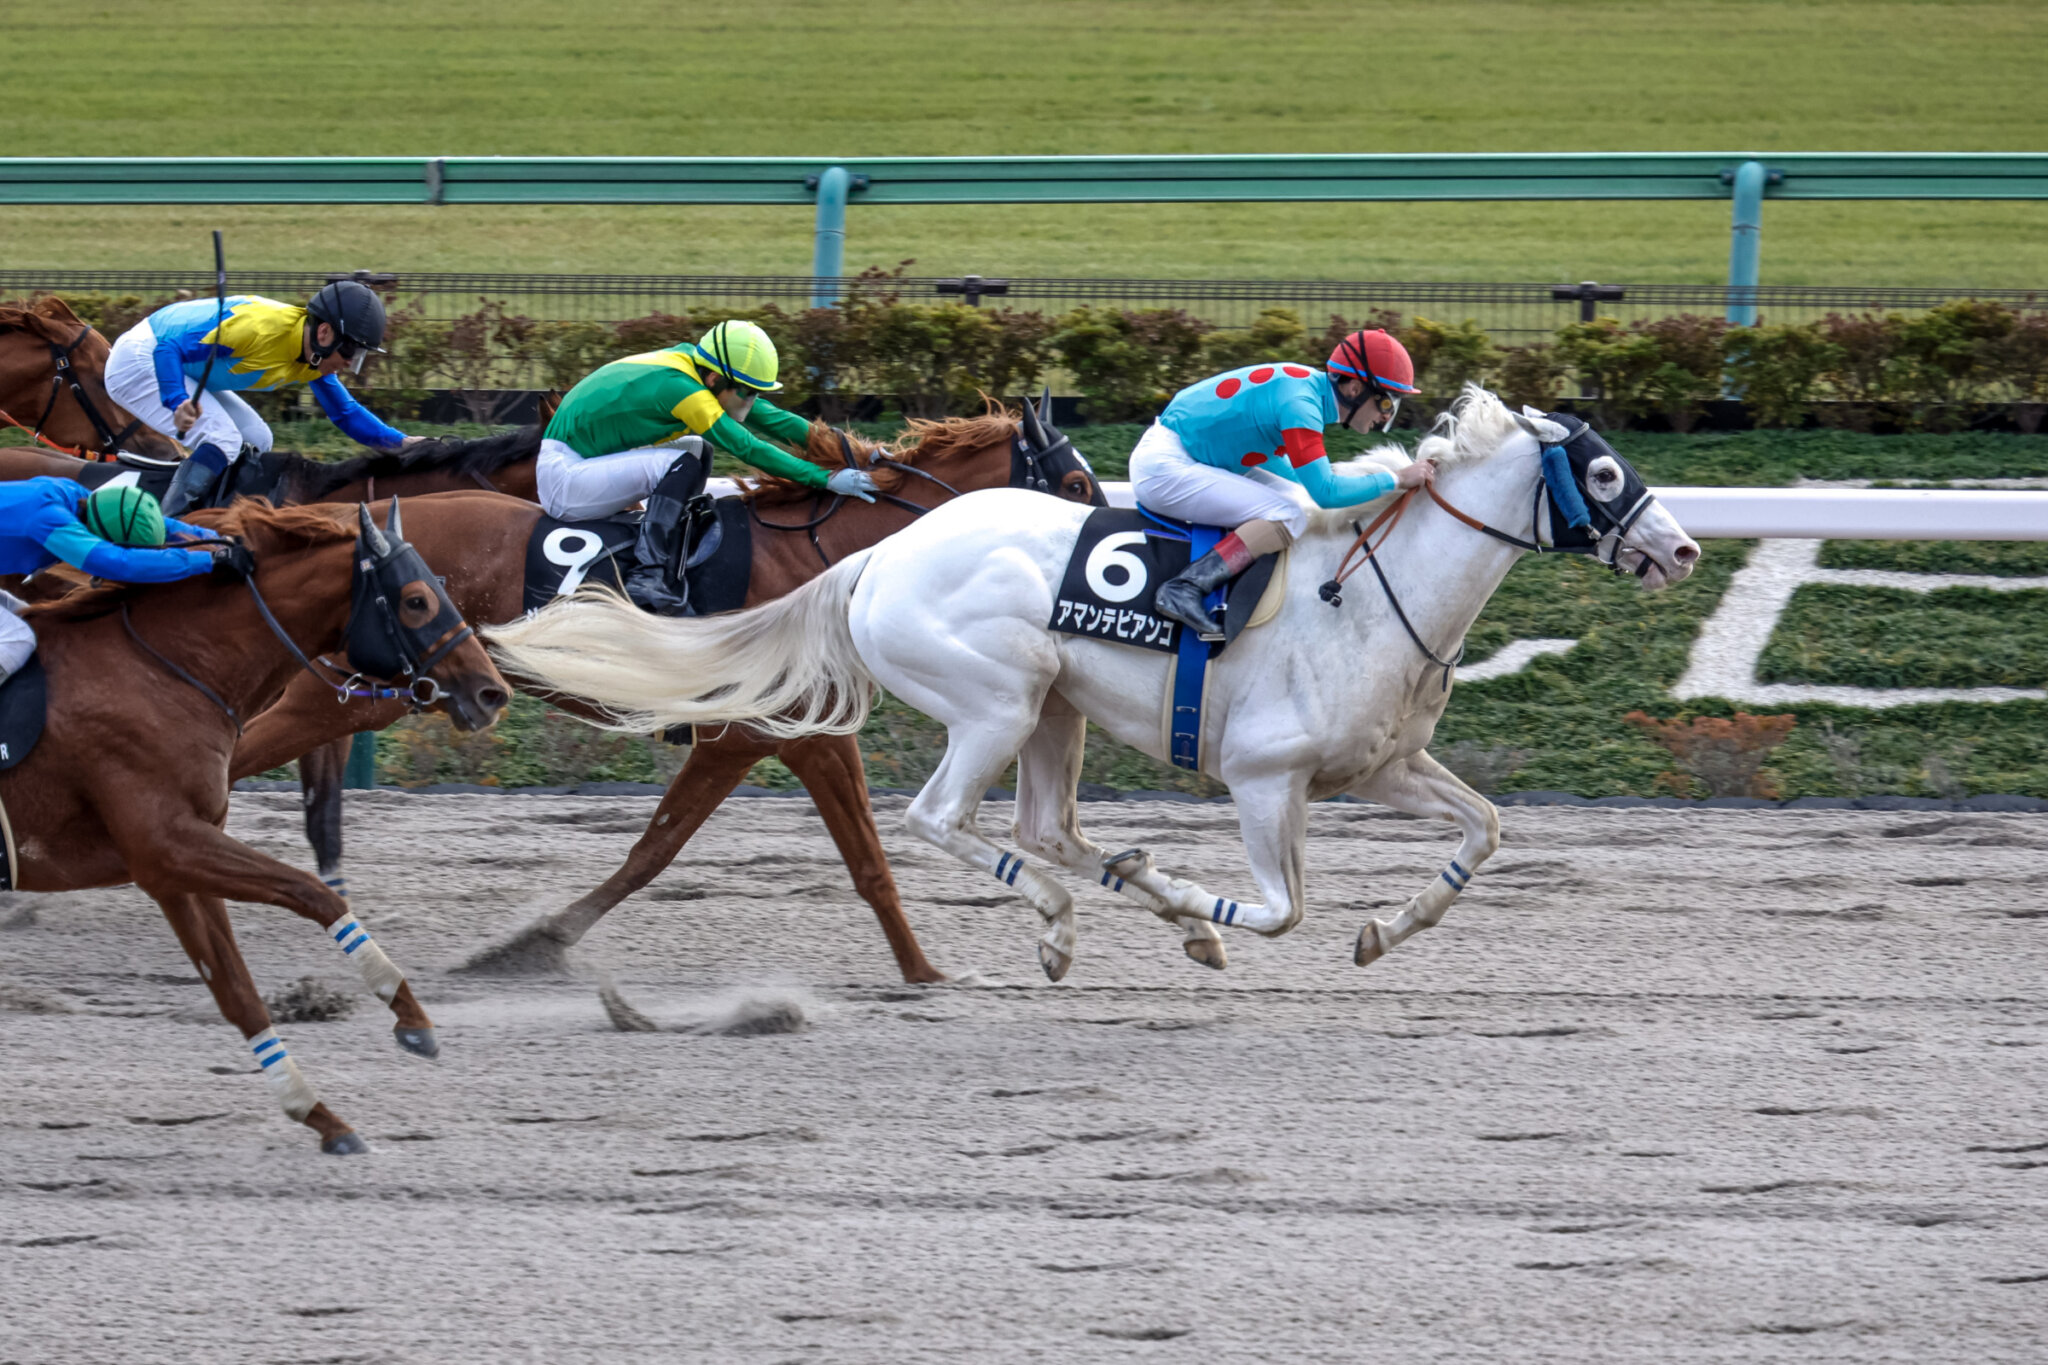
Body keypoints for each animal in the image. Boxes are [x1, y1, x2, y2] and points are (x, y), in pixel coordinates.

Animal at [7, 497, 508, 1153]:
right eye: (417, 599)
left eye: (443, 587)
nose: (492, 692)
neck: (159, 669)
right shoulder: (165, 843)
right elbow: (314, 892)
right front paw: (406, 1011)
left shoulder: (174, 863)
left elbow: (238, 993)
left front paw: (320, 1113)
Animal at [228, 404, 1106, 984]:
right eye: (1072, 479)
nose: (1097, 559)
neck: (826, 556)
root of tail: (362, 531)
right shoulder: (784, 734)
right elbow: (843, 859)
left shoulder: (766, 738)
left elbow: (667, 850)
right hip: (356, 693)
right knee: (233, 751)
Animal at [488, 387, 1703, 980]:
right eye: (1603, 472)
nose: (1683, 549)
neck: (1368, 593)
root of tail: (878, 555)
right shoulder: (1265, 778)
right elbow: (1281, 910)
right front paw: (1206, 916)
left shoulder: (1382, 766)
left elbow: (1483, 829)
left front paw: (1383, 930)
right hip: (1000, 697)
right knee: (942, 819)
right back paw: (1064, 924)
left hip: (1056, 712)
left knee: (1046, 826)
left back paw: (1114, 889)